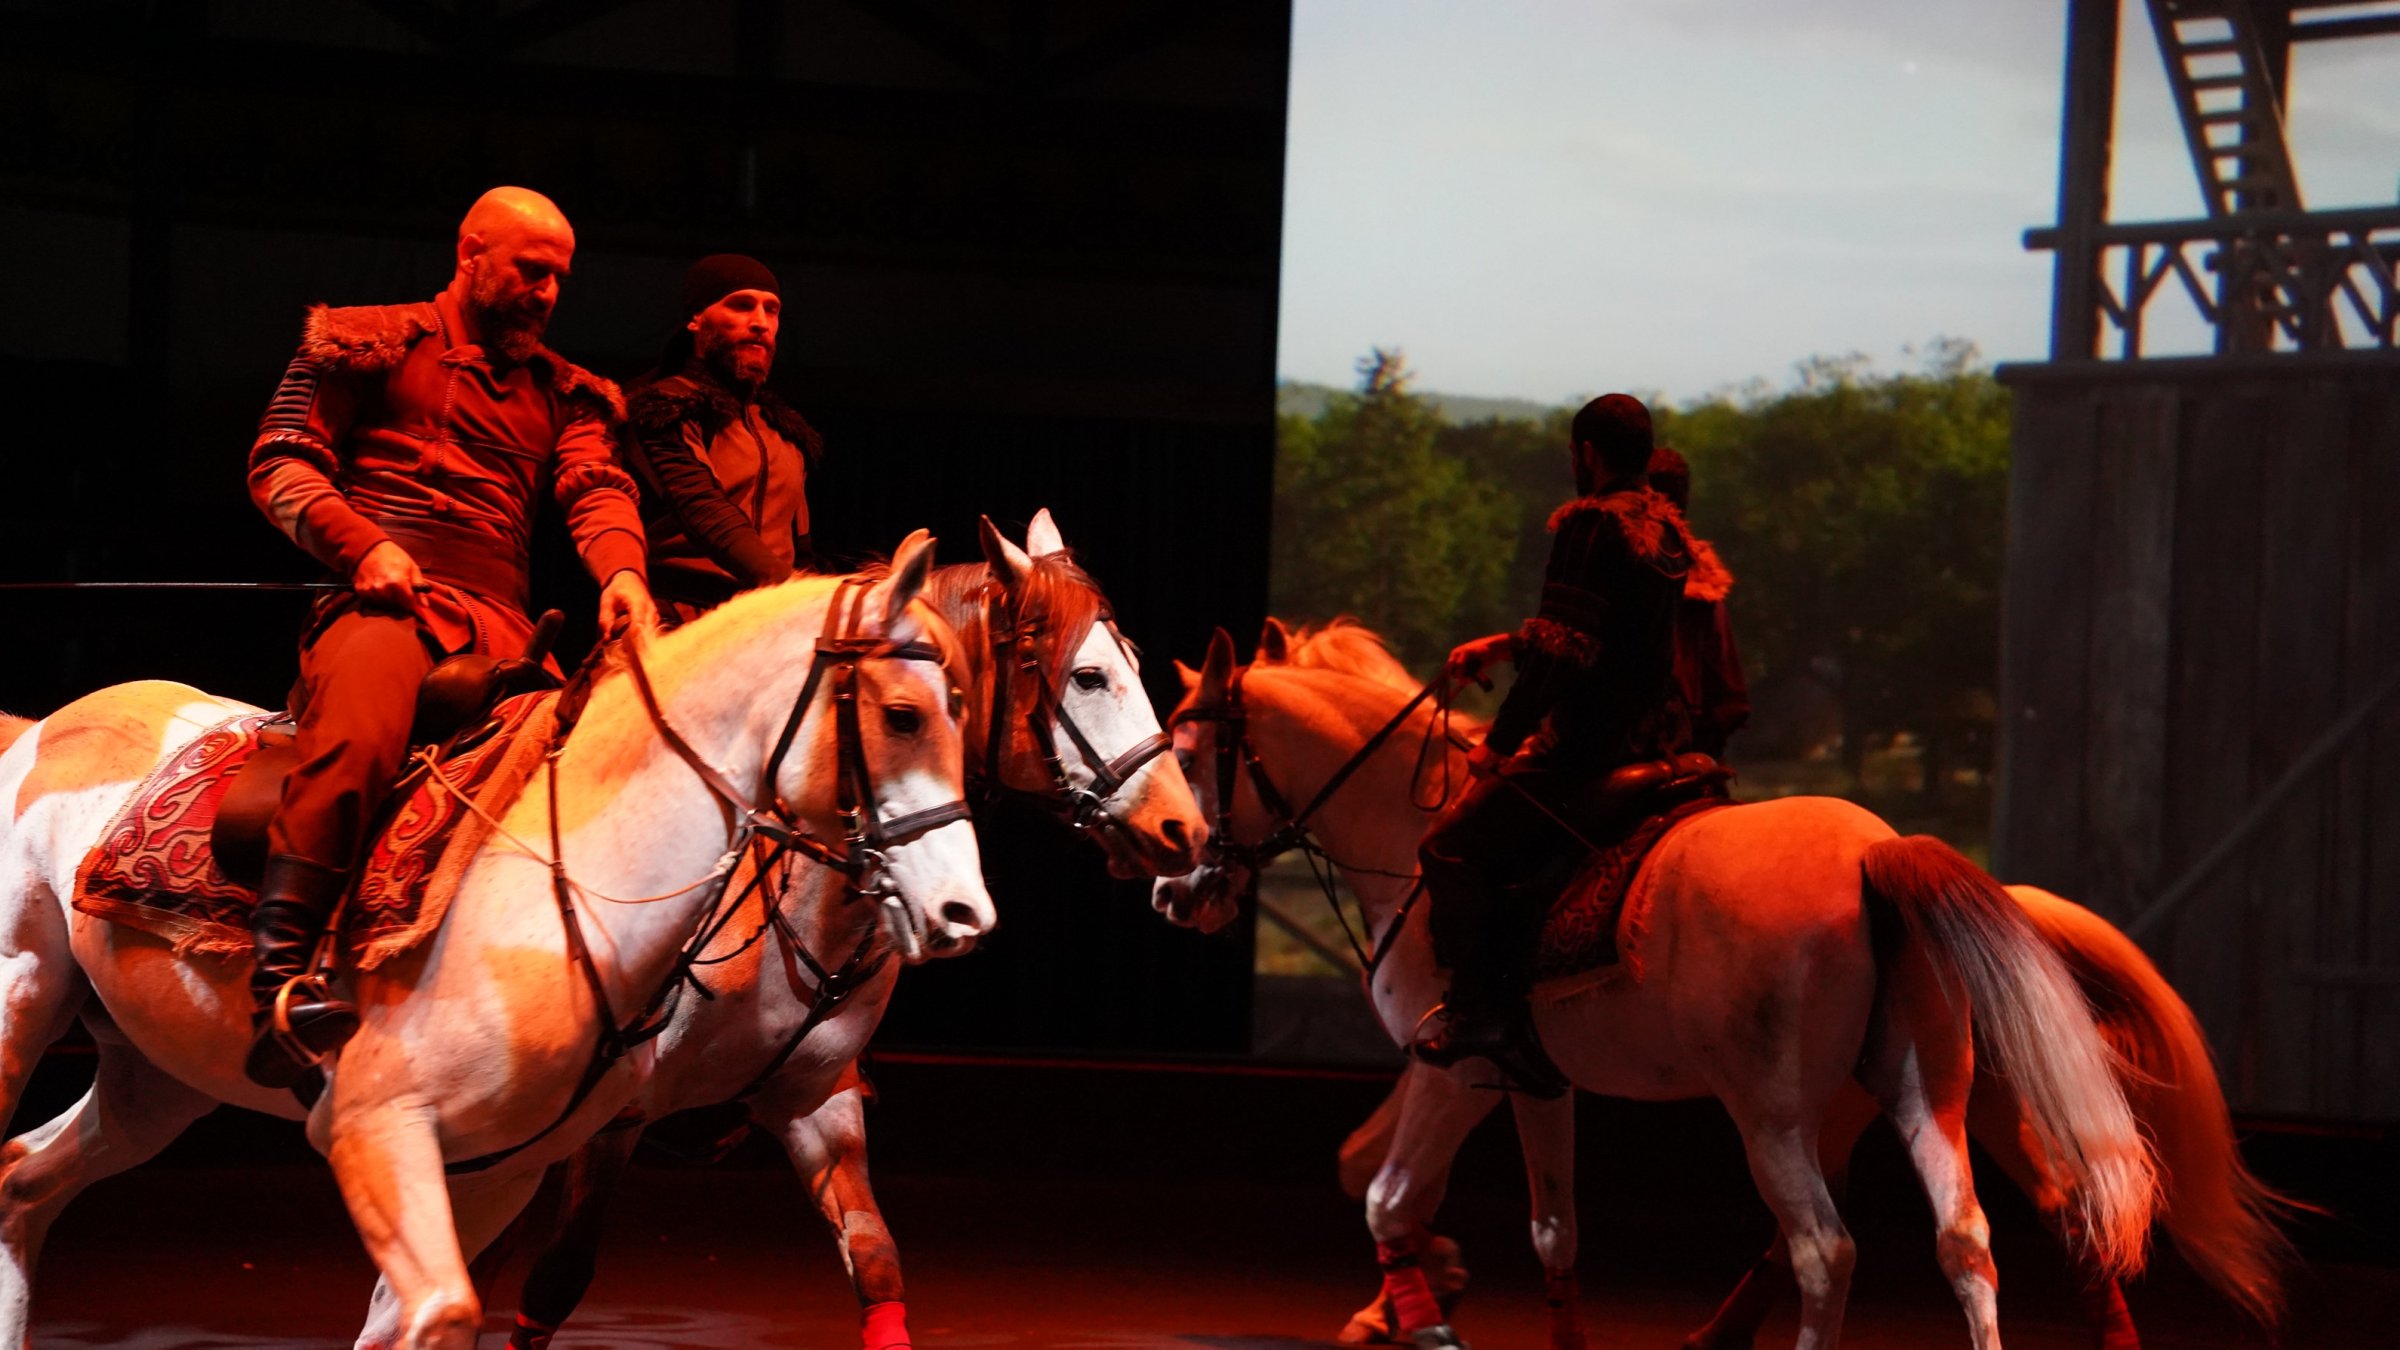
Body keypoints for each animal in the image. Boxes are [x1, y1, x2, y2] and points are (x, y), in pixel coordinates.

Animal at [0, 532, 994, 1350]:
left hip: (155, 1079)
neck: (564, 899)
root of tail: (40, 727)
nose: (966, 912)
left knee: (21, 1184)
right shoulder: (373, 1127)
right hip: (24, 995)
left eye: (963, 704)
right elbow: (449, 1312)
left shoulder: (497, 1168)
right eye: (903, 714)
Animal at [454, 508, 1207, 1350]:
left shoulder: (821, 1104)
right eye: (1089, 676)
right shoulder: (612, 1119)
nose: (1184, 828)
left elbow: (876, 1261)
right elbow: (554, 1281)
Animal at [1153, 620, 2159, 1350]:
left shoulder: (1452, 1070)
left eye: (1191, 756)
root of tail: (1876, 852)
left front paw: (1426, 1316)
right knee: (1971, 1242)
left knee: (1825, 1251)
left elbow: (1387, 1195)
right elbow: (1552, 1228)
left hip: (1773, 1115)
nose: (1177, 888)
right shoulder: (1530, 1081)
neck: (1407, 836)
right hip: (1925, 1093)